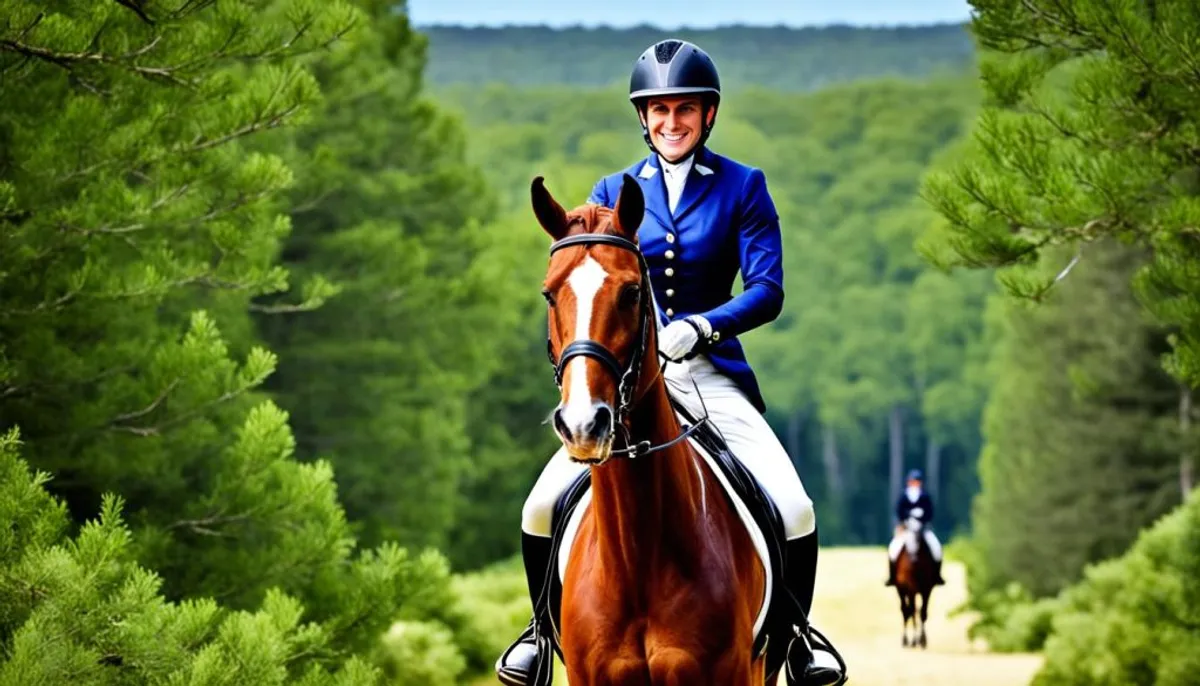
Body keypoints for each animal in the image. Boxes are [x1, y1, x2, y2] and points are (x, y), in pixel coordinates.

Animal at [892, 513, 936, 647]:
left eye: (920, 535)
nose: (913, 557)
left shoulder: (927, 589)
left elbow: (923, 612)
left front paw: (922, 640)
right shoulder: (909, 588)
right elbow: (911, 611)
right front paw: (914, 640)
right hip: (901, 590)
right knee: (906, 610)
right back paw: (906, 639)